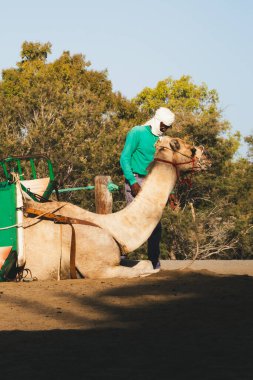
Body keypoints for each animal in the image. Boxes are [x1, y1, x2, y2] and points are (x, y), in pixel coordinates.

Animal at [19, 137, 211, 280]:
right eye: (191, 149)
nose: (207, 157)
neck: (113, 228)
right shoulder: (100, 269)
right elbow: (145, 270)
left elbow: (146, 263)